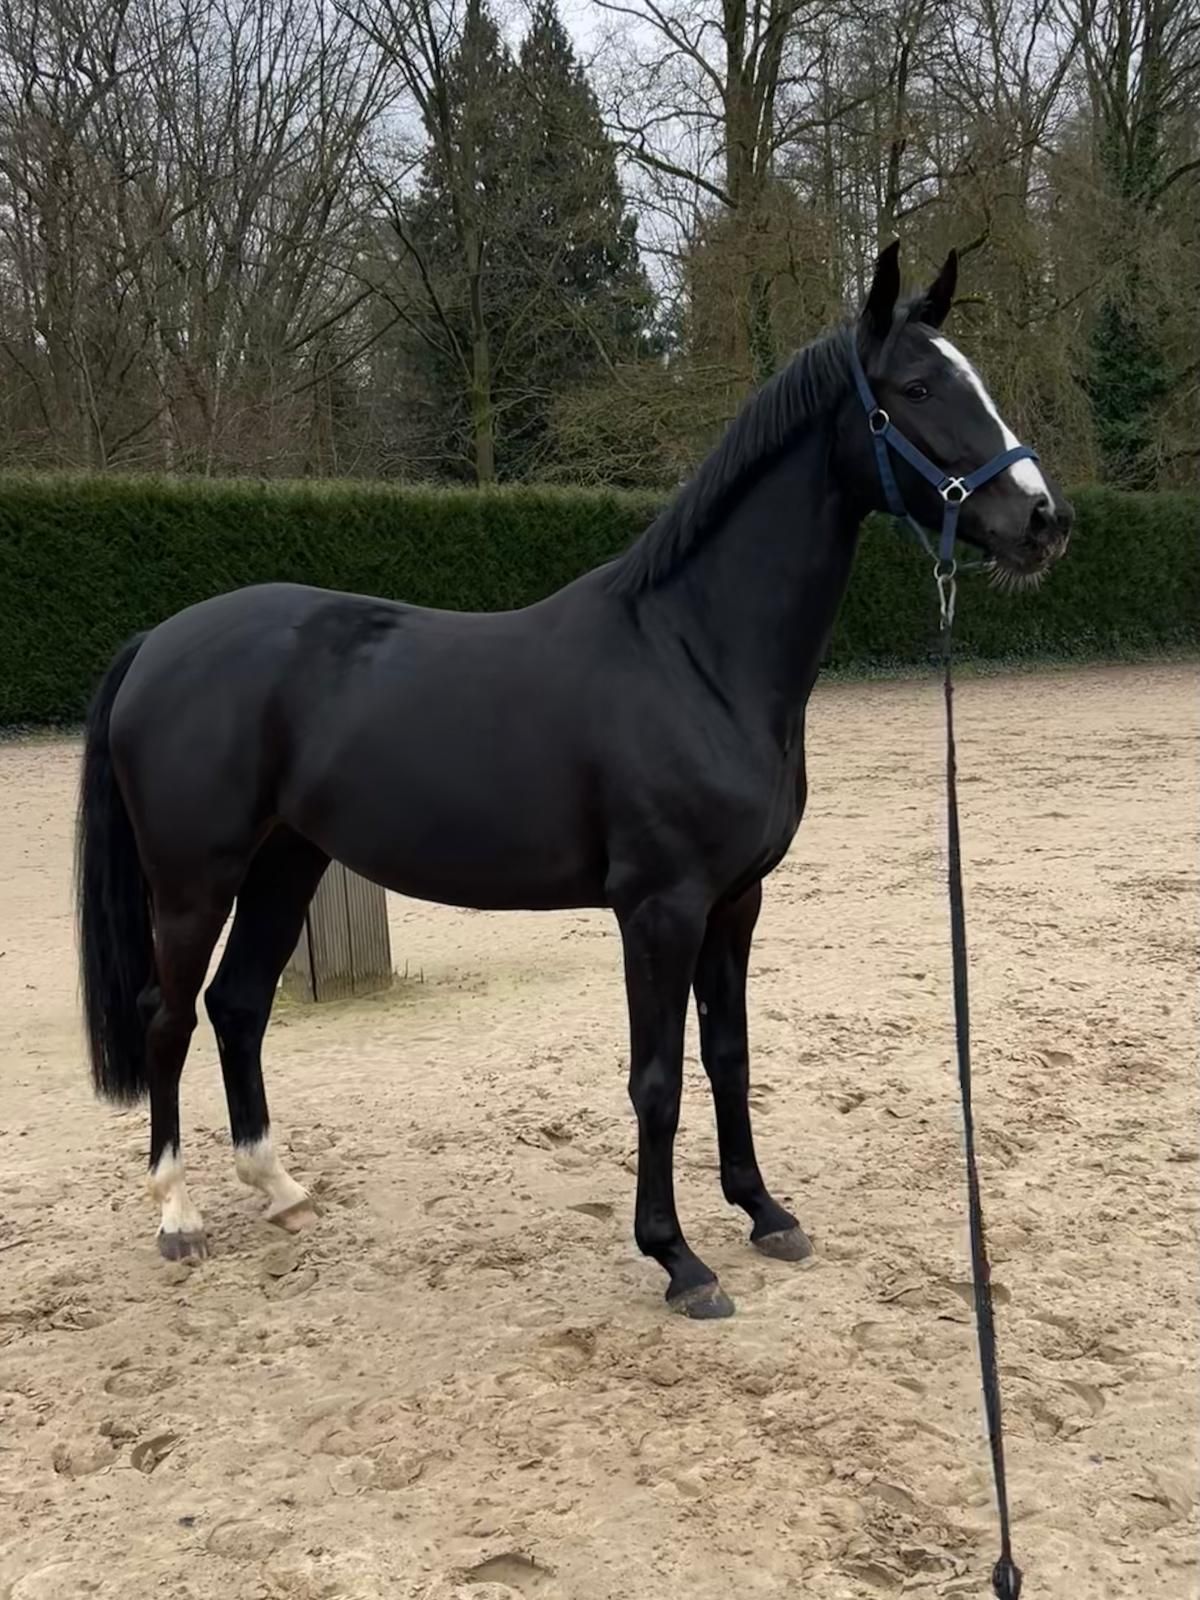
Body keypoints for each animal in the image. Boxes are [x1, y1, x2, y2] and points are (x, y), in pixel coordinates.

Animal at [76, 243, 1071, 1317]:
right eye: (918, 388)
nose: (1045, 520)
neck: (695, 654)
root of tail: (159, 641)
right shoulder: (660, 908)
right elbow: (657, 1079)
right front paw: (678, 1259)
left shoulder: (736, 901)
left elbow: (728, 1056)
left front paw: (764, 1213)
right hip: (195, 880)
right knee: (168, 1016)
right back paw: (178, 1215)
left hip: (287, 863)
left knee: (240, 1004)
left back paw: (282, 1191)